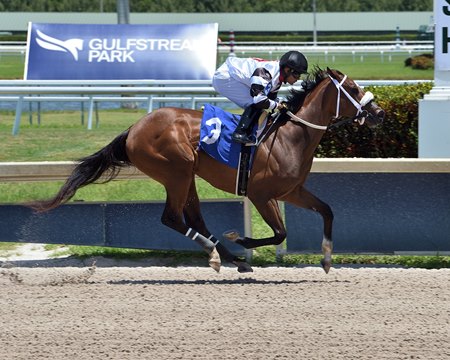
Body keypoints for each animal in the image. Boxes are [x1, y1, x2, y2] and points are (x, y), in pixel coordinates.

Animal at [27, 68, 384, 272]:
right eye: (353, 89)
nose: (379, 113)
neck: (290, 135)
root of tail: (133, 129)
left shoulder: (291, 190)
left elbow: (327, 211)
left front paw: (326, 258)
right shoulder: (261, 194)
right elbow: (280, 232)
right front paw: (241, 238)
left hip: (187, 177)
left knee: (194, 218)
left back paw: (230, 259)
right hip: (177, 170)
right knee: (172, 218)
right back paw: (220, 254)